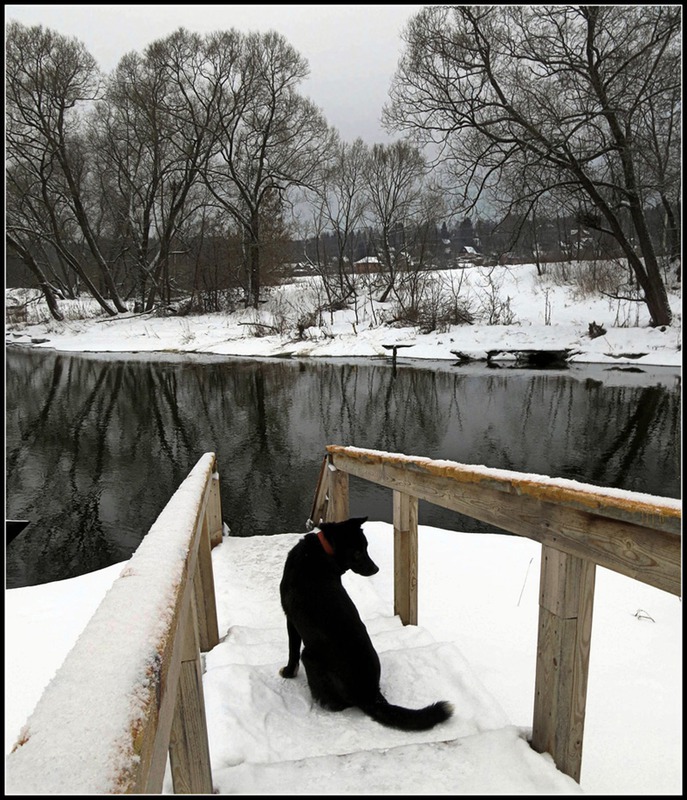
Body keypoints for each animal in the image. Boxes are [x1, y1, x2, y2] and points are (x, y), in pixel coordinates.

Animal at [276, 520, 454, 732]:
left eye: (365, 549)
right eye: (358, 552)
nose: (376, 569)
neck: (322, 550)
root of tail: (370, 694)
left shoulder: (290, 619)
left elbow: (292, 651)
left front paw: (288, 673)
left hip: (309, 656)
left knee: (336, 704)